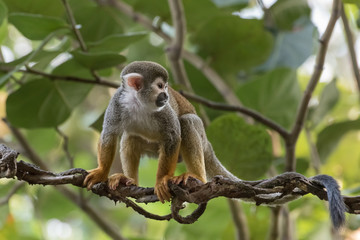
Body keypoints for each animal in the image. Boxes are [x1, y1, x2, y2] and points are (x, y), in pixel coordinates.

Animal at [83, 60, 344, 229]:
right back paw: (129, 180)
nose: (166, 95)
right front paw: (102, 172)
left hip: (197, 137)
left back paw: (196, 177)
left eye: (165, 87)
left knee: (187, 123)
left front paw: (162, 181)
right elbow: (109, 135)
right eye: (159, 86)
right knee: (131, 137)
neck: (140, 103)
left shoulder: (164, 114)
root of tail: (208, 143)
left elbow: (173, 136)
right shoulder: (117, 104)